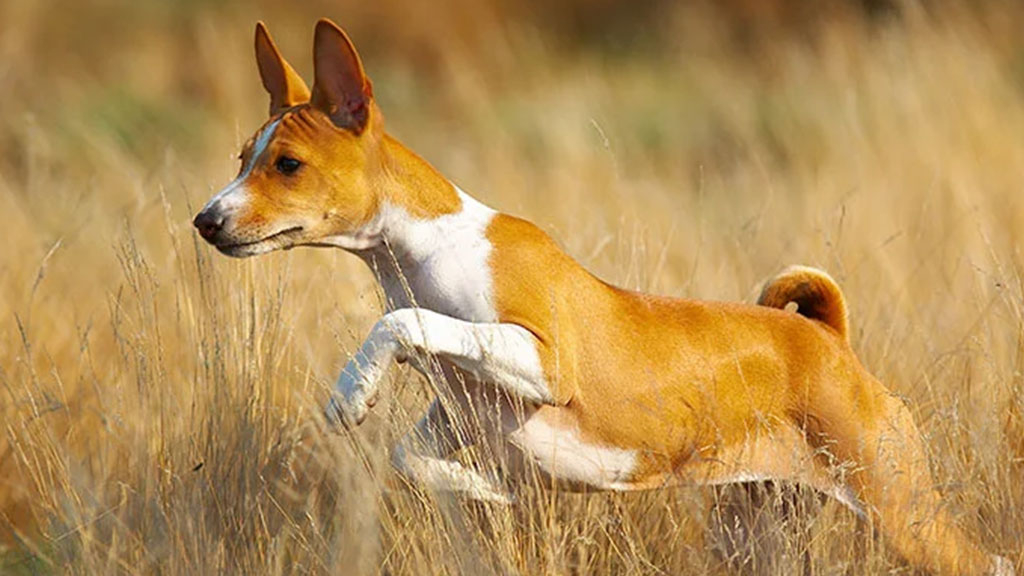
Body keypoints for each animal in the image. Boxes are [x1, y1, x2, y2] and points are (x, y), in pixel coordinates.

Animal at [193, 19, 1015, 573]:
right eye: (241, 158)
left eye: (288, 164)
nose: (206, 220)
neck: (425, 252)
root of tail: (830, 340)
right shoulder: (456, 416)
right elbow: (411, 458)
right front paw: (486, 491)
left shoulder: (543, 360)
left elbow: (401, 322)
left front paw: (352, 389)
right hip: (756, 526)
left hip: (902, 512)